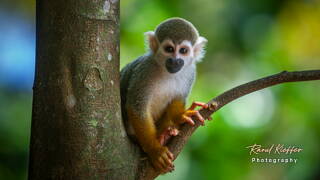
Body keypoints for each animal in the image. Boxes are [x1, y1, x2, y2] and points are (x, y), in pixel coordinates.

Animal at [119, 17, 208, 174]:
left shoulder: (191, 72)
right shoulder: (144, 71)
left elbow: (178, 99)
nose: (175, 60)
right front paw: (155, 151)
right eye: (169, 49)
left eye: (183, 51)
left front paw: (181, 116)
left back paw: (165, 134)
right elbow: (137, 107)